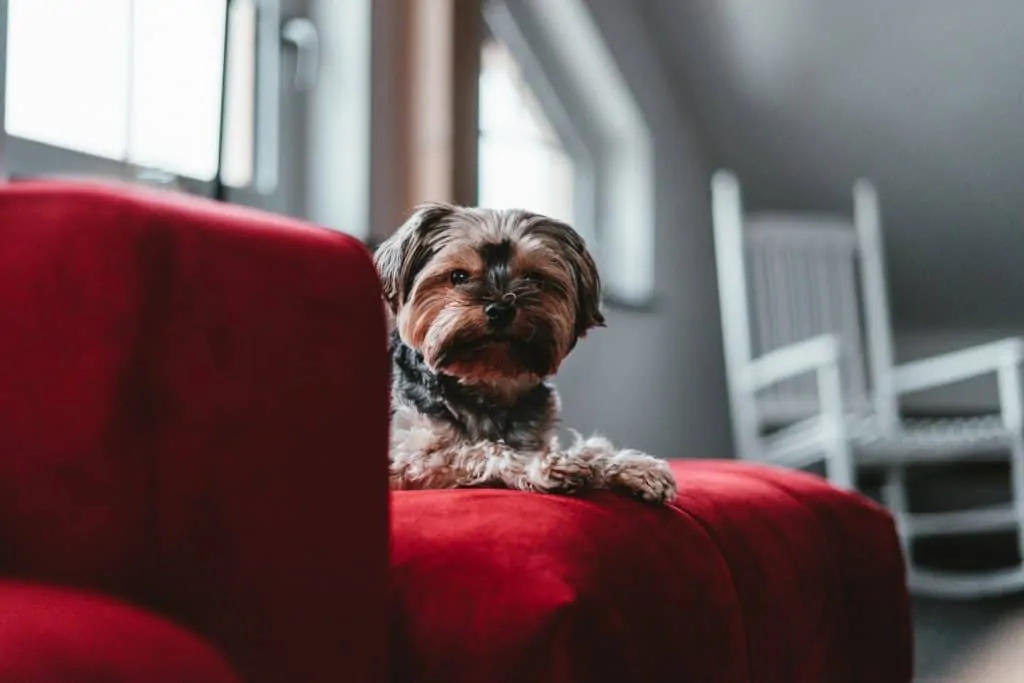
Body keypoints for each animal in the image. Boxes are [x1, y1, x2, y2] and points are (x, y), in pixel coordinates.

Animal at [376, 200, 679, 505]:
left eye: (534, 278)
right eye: (458, 276)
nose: (500, 309)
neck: (485, 384)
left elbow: (590, 448)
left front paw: (635, 467)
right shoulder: (408, 460)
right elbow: (480, 449)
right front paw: (543, 465)